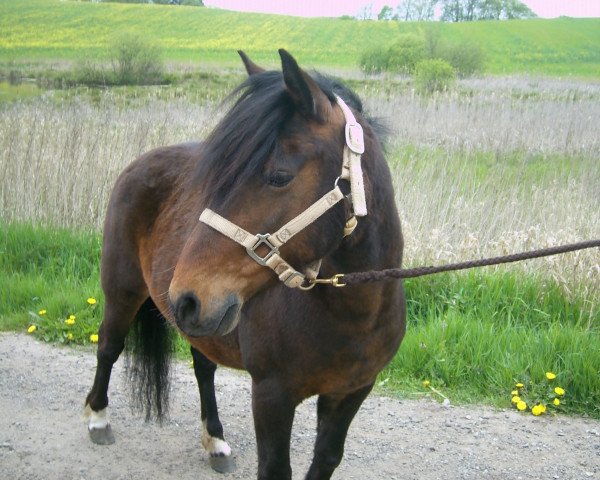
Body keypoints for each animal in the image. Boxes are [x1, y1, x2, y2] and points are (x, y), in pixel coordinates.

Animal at [84, 49, 408, 480]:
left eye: (279, 176)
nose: (185, 296)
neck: (352, 313)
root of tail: (143, 160)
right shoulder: (272, 394)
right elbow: (275, 468)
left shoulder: (351, 392)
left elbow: (326, 458)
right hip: (124, 291)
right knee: (109, 346)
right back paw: (98, 419)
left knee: (203, 367)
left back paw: (215, 442)